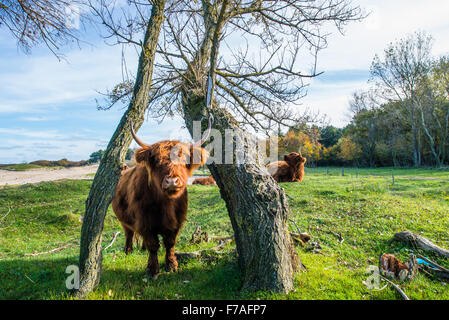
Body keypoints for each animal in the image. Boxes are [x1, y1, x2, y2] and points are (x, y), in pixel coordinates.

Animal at [112, 121, 210, 278]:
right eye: (157, 161)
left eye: (184, 159)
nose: (171, 181)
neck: (166, 204)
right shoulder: (145, 221)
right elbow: (153, 245)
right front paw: (152, 270)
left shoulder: (176, 221)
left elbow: (169, 243)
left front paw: (171, 266)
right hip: (123, 220)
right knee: (129, 233)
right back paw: (128, 251)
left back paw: (142, 249)